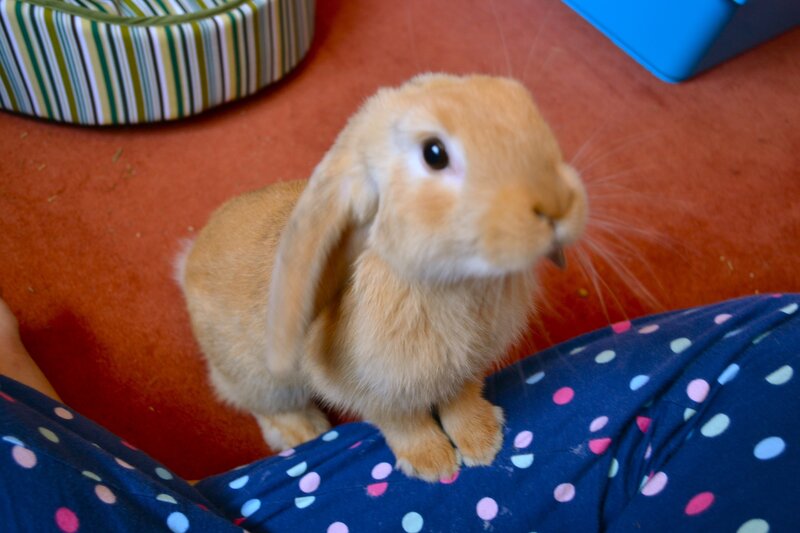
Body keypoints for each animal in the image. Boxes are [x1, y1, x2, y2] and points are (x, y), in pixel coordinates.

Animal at [177, 73, 588, 481]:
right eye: (434, 154)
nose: (559, 204)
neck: (449, 283)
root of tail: (188, 262)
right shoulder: (372, 391)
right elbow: (402, 421)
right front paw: (433, 464)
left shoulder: (463, 371)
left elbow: (461, 399)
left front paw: (483, 441)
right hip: (265, 380)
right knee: (261, 404)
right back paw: (306, 431)